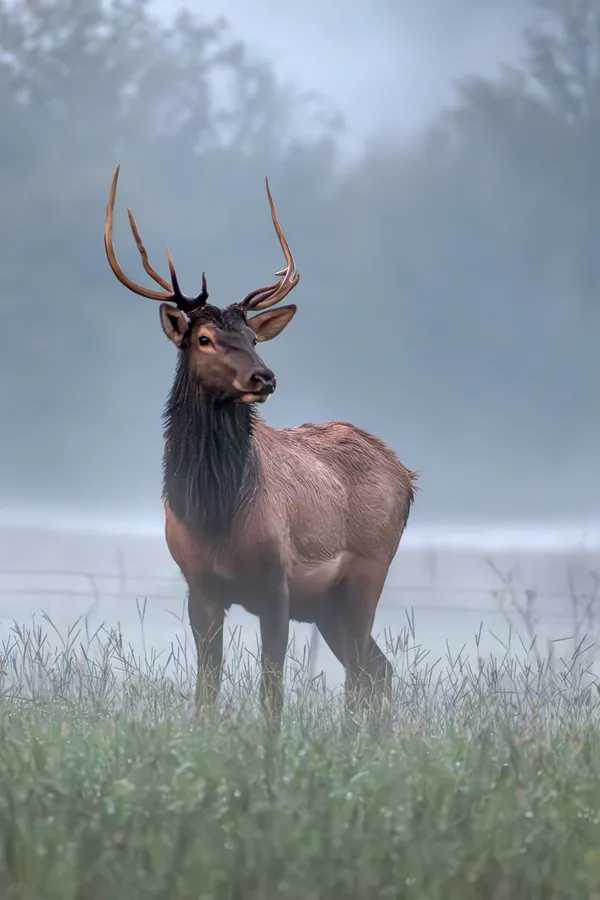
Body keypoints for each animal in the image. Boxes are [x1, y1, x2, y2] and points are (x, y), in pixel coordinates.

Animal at [104, 165, 417, 732]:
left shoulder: (277, 582)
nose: (264, 377)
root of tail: (408, 476)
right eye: (204, 337)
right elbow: (207, 689)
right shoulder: (200, 588)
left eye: (253, 337)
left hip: (367, 571)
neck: (215, 513)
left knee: (363, 673)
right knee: (377, 669)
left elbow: (272, 690)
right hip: (328, 604)